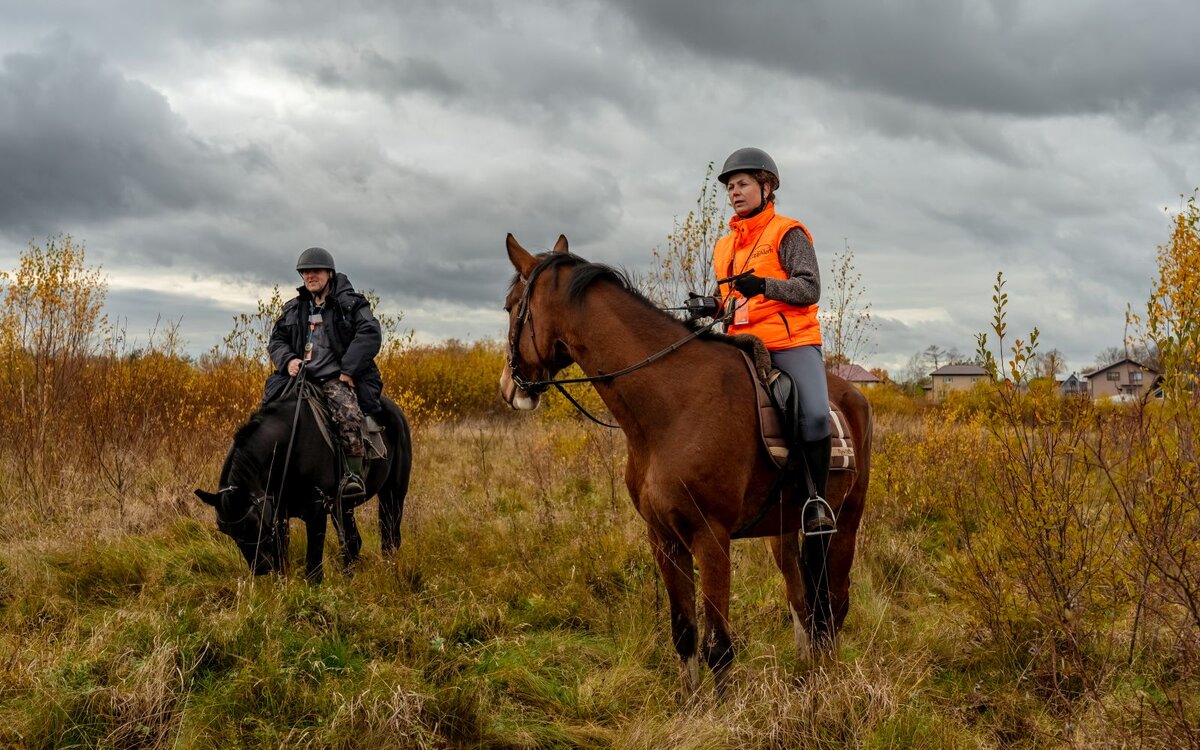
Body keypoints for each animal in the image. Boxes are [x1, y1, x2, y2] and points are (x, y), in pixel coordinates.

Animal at [195, 379, 412, 578]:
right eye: (226, 531)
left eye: (253, 523)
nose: (260, 570)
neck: (288, 447)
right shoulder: (279, 515)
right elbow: (281, 560)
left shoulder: (316, 512)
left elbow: (313, 566)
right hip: (343, 506)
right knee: (353, 543)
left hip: (392, 495)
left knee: (390, 538)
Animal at [496, 234, 873, 696]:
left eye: (510, 306)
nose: (508, 387)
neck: (673, 404)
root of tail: (853, 396)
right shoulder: (664, 538)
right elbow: (685, 633)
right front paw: (692, 704)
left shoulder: (711, 538)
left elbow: (719, 645)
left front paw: (725, 709)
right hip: (784, 531)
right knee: (803, 600)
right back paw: (806, 673)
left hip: (844, 522)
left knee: (834, 603)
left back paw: (827, 681)